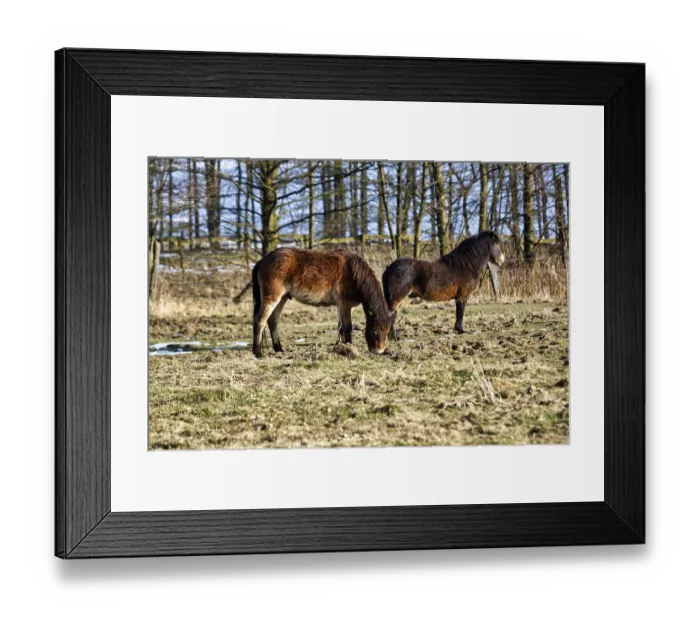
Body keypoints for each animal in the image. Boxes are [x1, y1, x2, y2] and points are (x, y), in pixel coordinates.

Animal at [251, 248, 392, 358]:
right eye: (374, 330)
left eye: (387, 332)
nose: (379, 351)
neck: (353, 273)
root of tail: (262, 260)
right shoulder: (344, 305)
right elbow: (348, 327)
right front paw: (350, 348)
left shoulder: (345, 307)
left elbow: (341, 328)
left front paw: (340, 348)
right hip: (272, 298)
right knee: (260, 320)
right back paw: (258, 353)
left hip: (282, 298)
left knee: (273, 321)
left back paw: (279, 349)